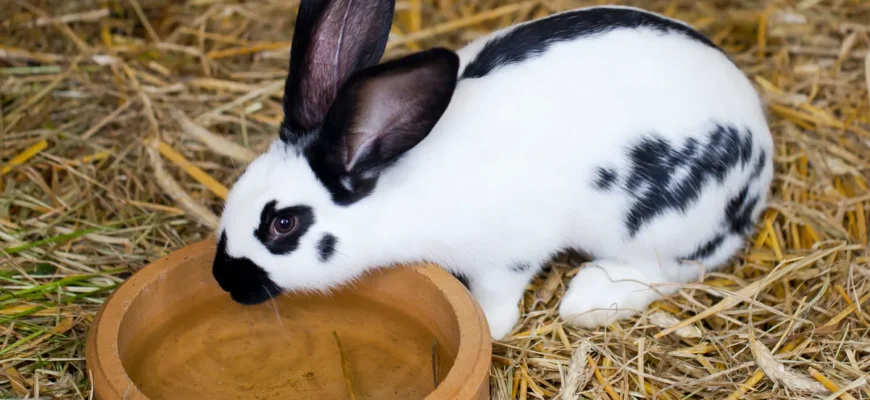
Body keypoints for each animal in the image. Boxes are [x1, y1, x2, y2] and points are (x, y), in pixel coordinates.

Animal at [211, 0, 774, 340]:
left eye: (283, 224)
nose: (224, 280)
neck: (394, 191)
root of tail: (762, 156)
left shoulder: (511, 255)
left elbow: (497, 297)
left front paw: (488, 325)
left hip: (656, 226)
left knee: (680, 267)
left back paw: (591, 298)